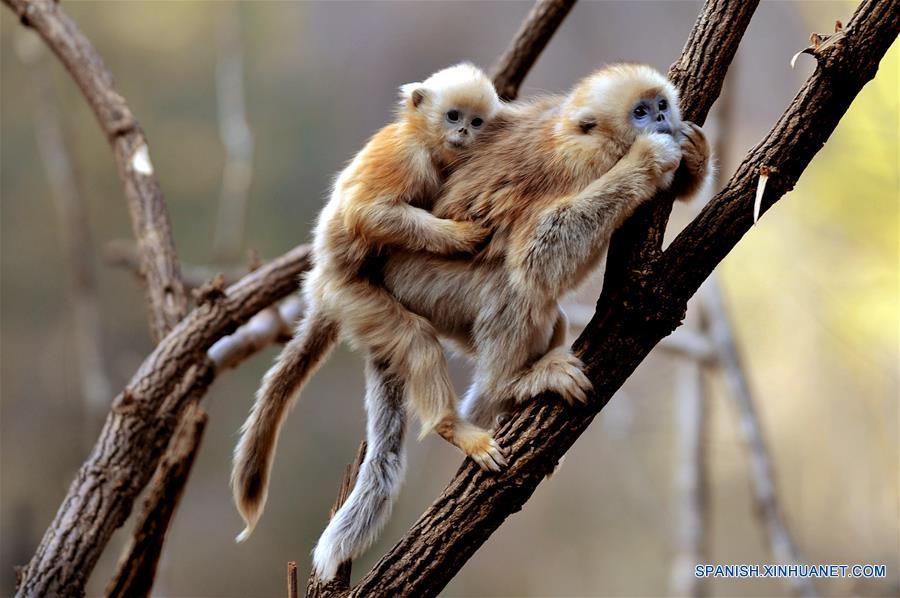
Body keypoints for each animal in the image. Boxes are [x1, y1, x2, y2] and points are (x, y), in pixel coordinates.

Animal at [229, 63, 502, 552]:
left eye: (476, 122)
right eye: (453, 116)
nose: (463, 134)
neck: (428, 146)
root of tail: (320, 285)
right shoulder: (405, 157)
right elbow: (368, 213)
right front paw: (460, 235)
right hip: (353, 298)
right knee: (416, 339)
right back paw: (454, 428)